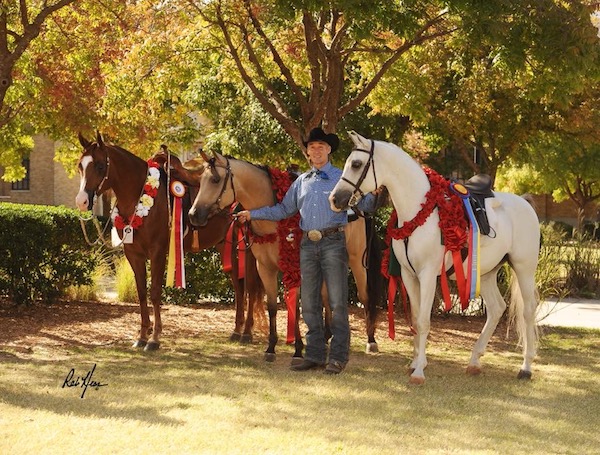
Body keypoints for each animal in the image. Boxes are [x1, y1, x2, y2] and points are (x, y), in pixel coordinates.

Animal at [74, 134, 262, 350]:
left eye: (99, 166)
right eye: (80, 166)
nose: (82, 201)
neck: (140, 196)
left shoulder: (157, 252)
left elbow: (155, 292)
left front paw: (154, 339)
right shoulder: (134, 254)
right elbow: (141, 292)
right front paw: (142, 336)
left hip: (248, 249)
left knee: (251, 287)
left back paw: (246, 333)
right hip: (227, 246)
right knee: (239, 287)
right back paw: (236, 331)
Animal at [330, 133, 540, 384]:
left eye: (356, 164)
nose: (335, 199)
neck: (420, 211)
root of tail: (526, 203)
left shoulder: (428, 274)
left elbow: (423, 321)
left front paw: (419, 371)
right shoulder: (409, 276)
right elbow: (415, 319)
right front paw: (415, 363)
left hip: (524, 269)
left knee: (528, 311)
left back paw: (526, 367)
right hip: (487, 273)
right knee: (497, 309)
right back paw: (474, 362)